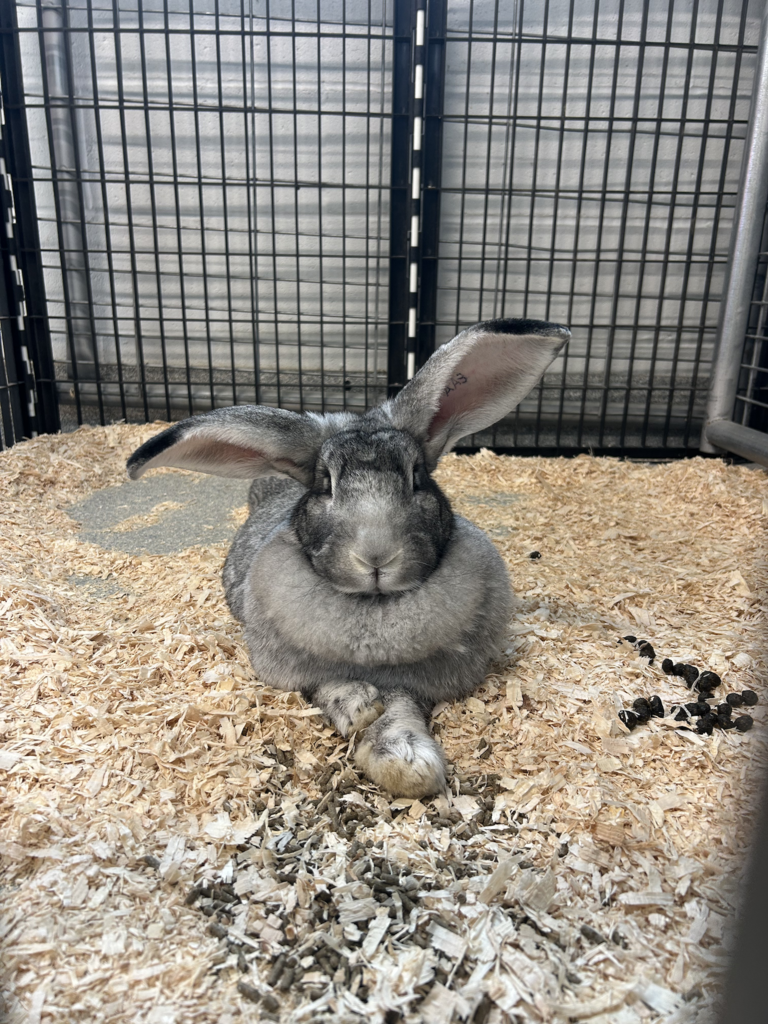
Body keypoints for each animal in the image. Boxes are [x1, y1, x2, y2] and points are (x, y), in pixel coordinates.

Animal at [127, 318, 569, 797]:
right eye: (326, 484)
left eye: (417, 477)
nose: (376, 556)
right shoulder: (293, 671)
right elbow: (331, 689)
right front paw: (360, 707)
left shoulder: (415, 682)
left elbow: (401, 706)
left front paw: (405, 760)